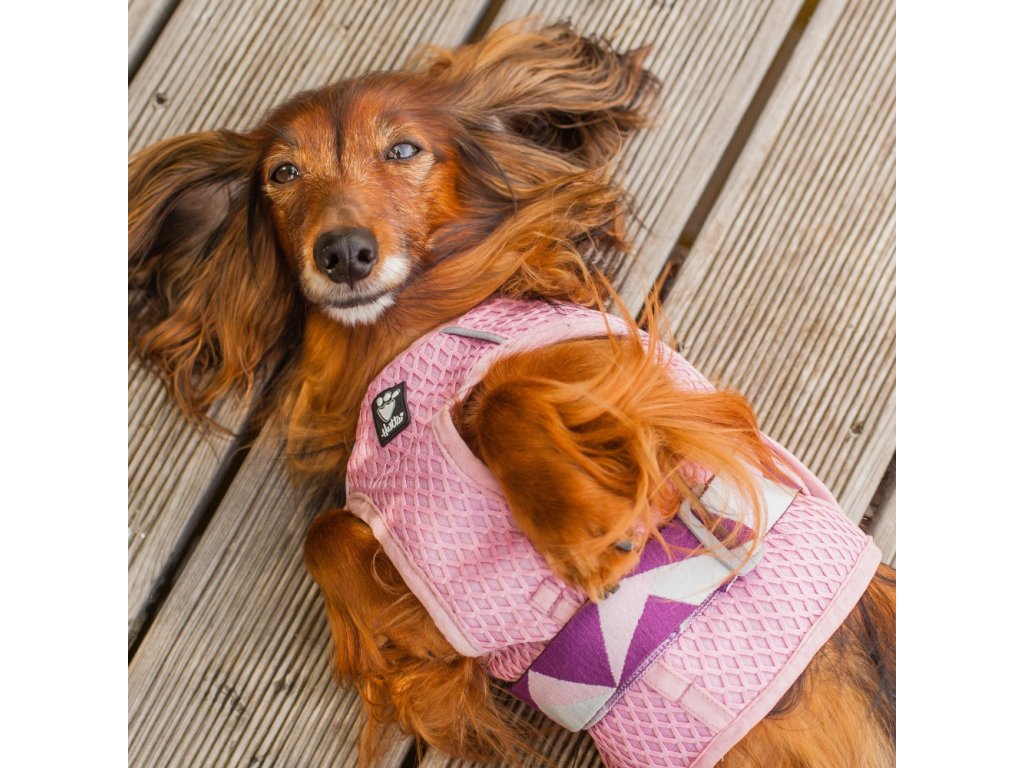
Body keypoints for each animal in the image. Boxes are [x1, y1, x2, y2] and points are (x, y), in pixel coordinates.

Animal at [129, 21, 895, 768]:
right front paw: (410, 641)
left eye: (403, 149)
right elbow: (326, 536)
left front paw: (580, 532)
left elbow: (501, 395)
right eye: (282, 173)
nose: (343, 253)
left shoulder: (652, 385)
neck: (398, 344)